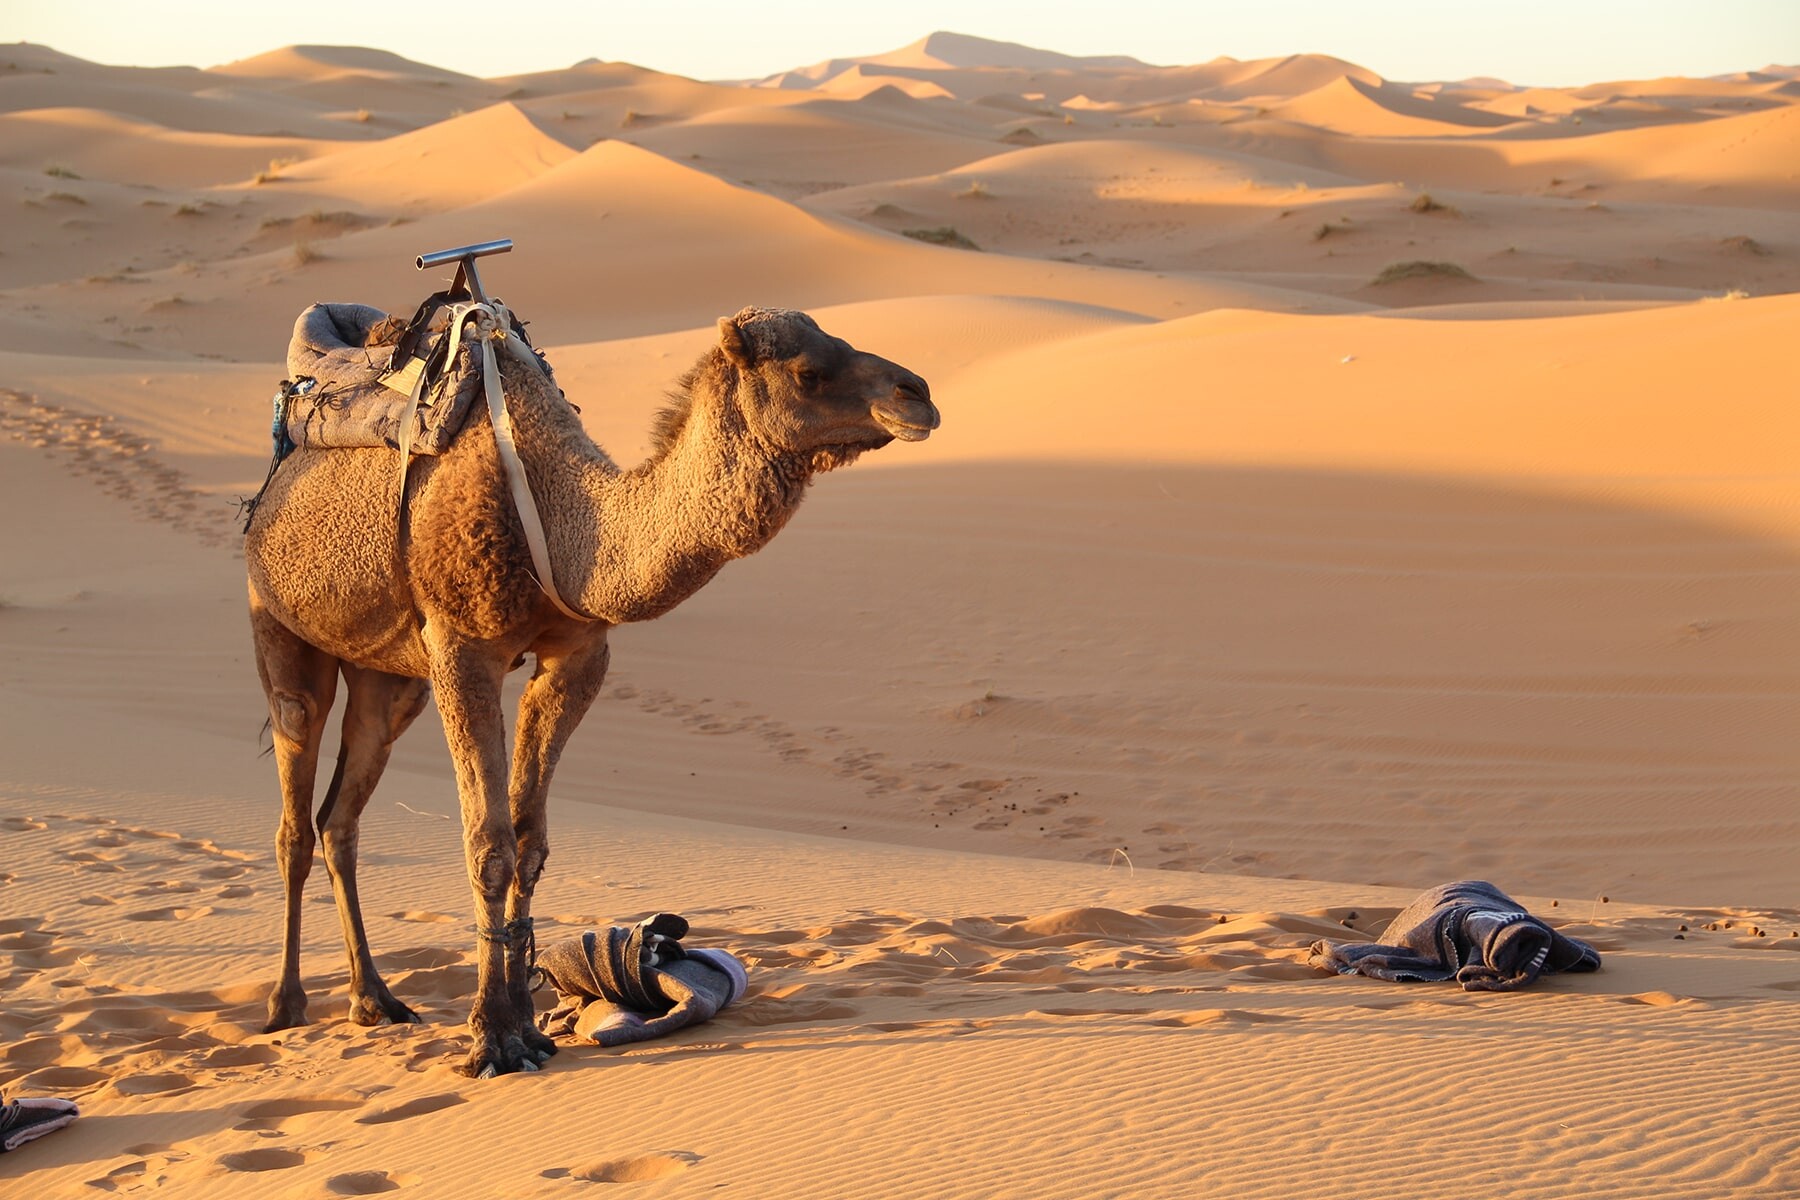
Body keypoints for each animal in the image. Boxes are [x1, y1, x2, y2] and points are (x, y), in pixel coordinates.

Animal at [243, 305, 937, 1077]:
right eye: (809, 371)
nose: (917, 394)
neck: (562, 520)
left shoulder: (578, 657)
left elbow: (529, 841)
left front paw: (529, 1024)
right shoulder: (461, 647)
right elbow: (488, 845)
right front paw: (492, 1037)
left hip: (388, 675)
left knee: (340, 818)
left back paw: (374, 1000)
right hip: (279, 626)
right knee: (294, 810)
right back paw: (286, 1006)